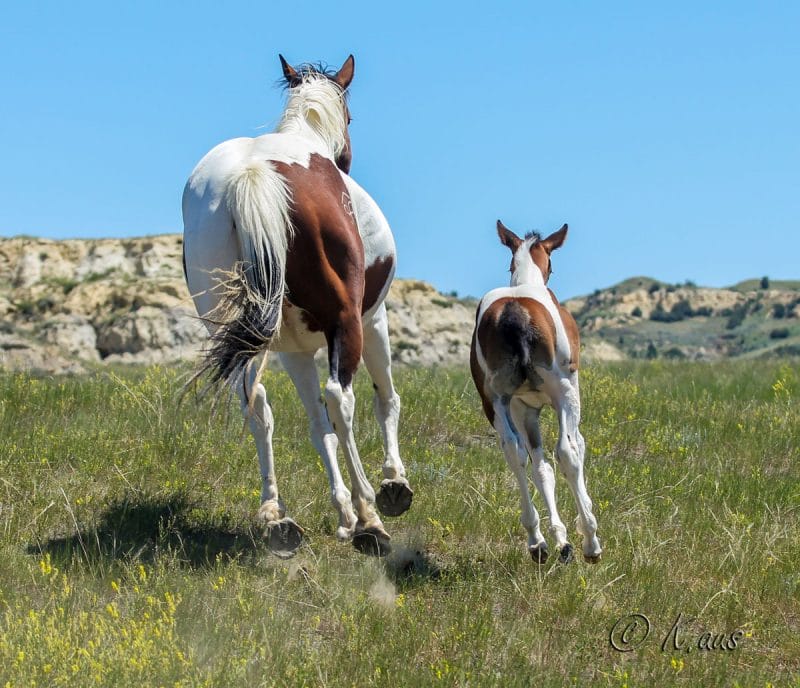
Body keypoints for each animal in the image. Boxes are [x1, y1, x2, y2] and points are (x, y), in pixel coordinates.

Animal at [182, 55, 412, 560]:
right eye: (351, 118)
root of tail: (252, 173)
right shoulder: (371, 319)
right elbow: (381, 400)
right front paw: (389, 487)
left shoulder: (294, 350)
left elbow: (316, 425)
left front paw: (342, 513)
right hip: (348, 324)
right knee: (341, 399)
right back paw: (370, 517)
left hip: (239, 333)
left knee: (256, 403)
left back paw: (277, 516)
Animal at [468, 220, 600, 564]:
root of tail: (515, 313)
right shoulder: (568, 396)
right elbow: (576, 448)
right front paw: (581, 528)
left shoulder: (525, 409)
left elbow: (541, 469)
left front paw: (561, 539)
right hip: (563, 392)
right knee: (567, 452)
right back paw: (591, 542)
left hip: (495, 402)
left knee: (514, 453)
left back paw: (537, 541)